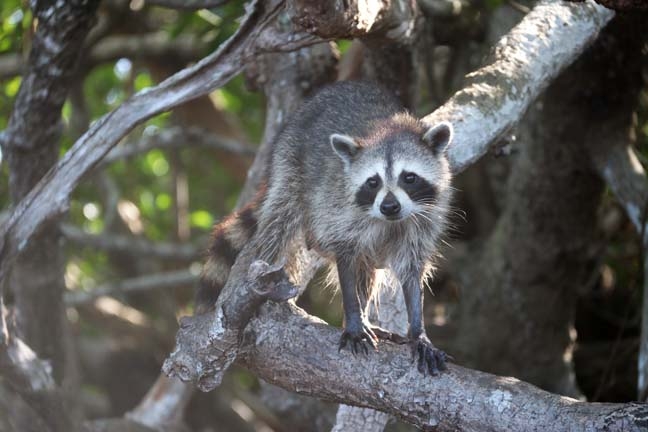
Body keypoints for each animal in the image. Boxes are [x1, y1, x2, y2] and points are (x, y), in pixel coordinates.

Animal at [200, 81, 454, 374]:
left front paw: (418, 331)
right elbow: (347, 261)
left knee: (367, 269)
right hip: (289, 162)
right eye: (373, 182)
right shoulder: (341, 214)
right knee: (279, 222)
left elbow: (411, 271)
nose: (389, 207)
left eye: (409, 178)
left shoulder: (424, 221)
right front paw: (354, 319)